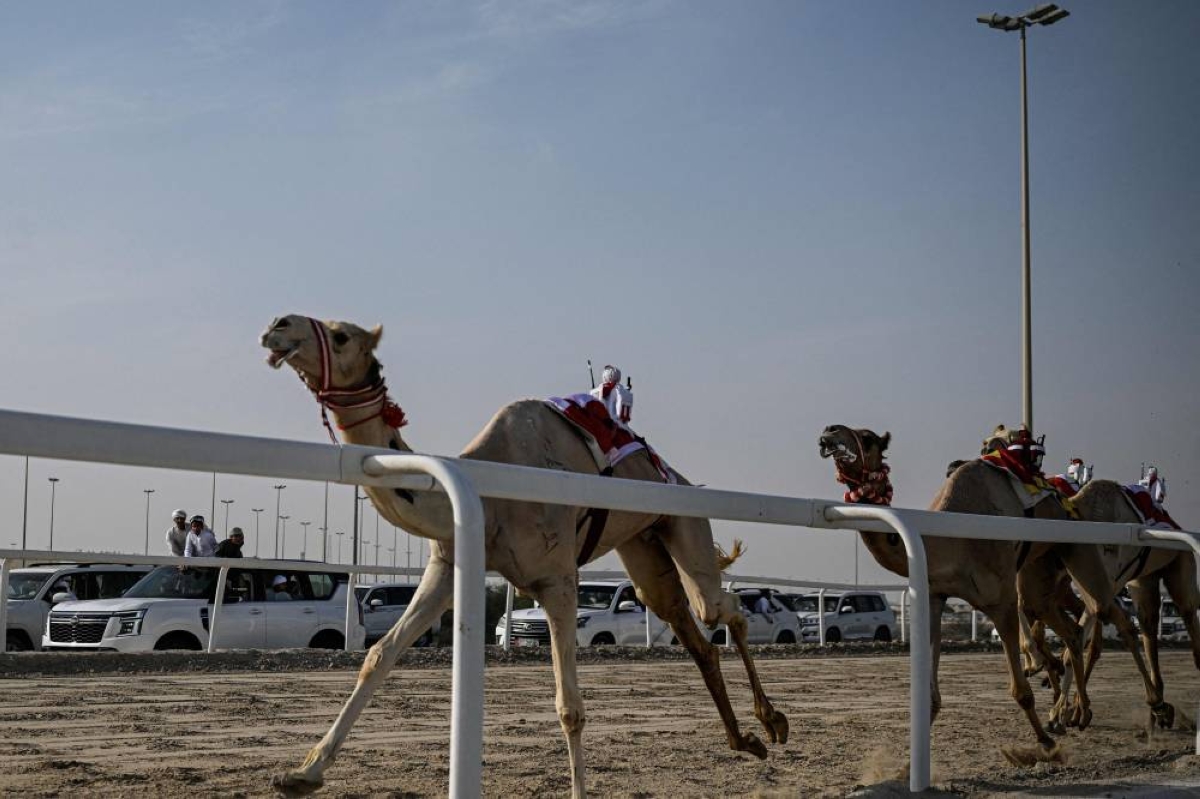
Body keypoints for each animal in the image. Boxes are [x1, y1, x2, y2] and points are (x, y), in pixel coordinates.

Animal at [261, 314, 788, 798]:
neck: (492, 488)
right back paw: (746, 739)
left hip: (684, 522)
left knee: (724, 609)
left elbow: (569, 707)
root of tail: (675, 477)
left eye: (341, 335)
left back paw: (773, 720)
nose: (277, 326)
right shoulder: (447, 567)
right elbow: (379, 655)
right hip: (642, 545)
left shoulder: (557, 580)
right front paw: (302, 773)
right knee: (690, 626)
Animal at [817, 424, 1172, 763]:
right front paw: (905, 765)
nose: (828, 431)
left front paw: (1045, 743)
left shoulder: (1000, 599)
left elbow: (1020, 690)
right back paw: (1075, 710)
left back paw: (1151, 707)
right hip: (1041, 574)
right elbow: (931, 695)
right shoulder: (935, 595)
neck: (949, 541)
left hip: (1082, 554)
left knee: (1113, 616)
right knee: (1072, 628)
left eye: (867, 437)